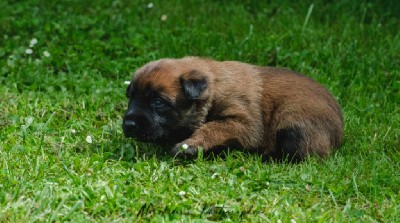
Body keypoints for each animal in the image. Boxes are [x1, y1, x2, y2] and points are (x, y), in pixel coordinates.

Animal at [122, 56, 344, 161]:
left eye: (157, 102)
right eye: (131, 97)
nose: (128, 125)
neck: (214, 88)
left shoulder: (241, 121)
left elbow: (211, 127)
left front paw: (190, 145)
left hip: (292, 120)